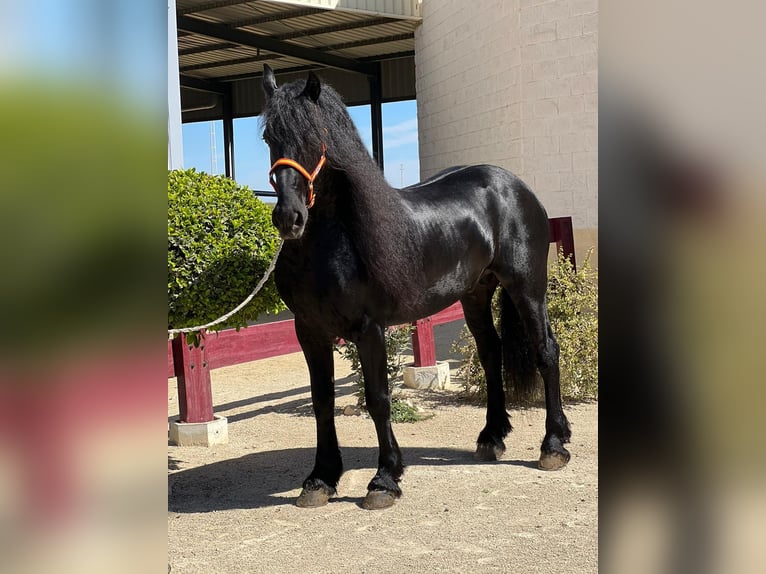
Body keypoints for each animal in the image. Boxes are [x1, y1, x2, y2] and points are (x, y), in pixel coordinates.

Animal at [261, 64, 571, 510]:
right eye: (269, 138)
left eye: (315, 135)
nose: (290, 218)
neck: (335, 241)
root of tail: (514, 186)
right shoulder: (310, 331)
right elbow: (322, 402)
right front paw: (320, 479)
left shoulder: (368, 329)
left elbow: (378, 399)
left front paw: (384, 479)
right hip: (475, 293)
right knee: (491, 353)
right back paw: (491, 438)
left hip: (527, 286)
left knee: (546, 349)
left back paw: (554, 444)